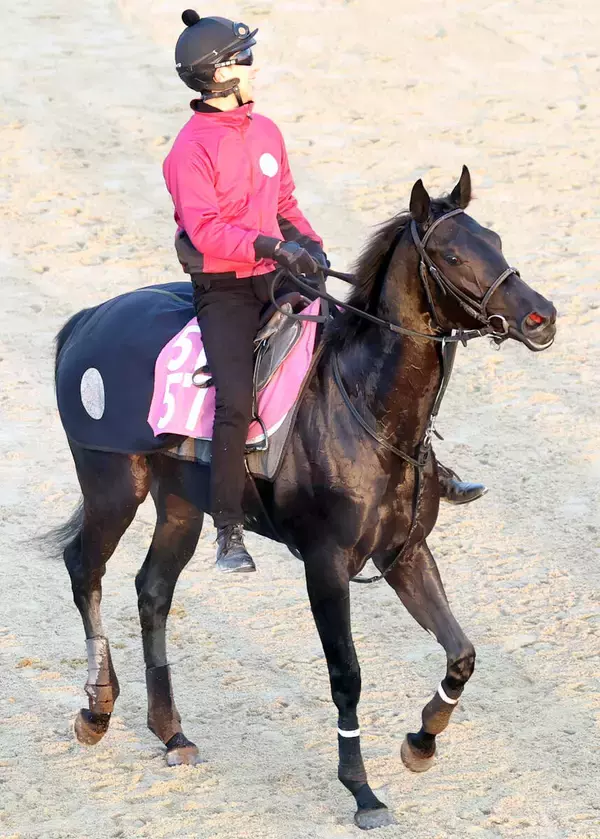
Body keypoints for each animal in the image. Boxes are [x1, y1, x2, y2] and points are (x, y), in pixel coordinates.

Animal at [51, 167, 556, 829]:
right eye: (450, 254)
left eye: (493, 238)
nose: (541, 317)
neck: (367, 407)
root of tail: (86, 319)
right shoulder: (326, 564)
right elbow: (347, 674)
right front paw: (362, 791)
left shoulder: (406, 553)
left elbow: (462, 653)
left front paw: (421, 742)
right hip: (113, 487)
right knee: (85, 569)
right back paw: (96, 710)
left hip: (181, 505)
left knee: (152, 590)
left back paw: (171, 734)